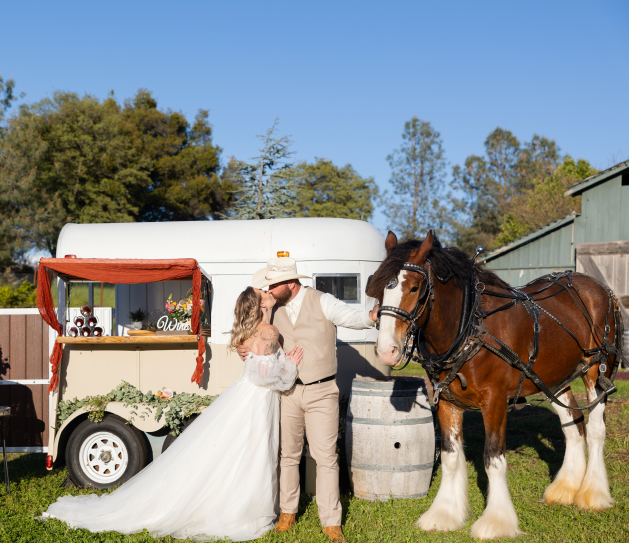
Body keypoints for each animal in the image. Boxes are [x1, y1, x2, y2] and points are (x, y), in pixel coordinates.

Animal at [368, 230, 620, 540]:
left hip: (596, 371)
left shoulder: (495, 402)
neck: (469, 328)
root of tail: (599, 287)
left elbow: (493, 459)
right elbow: (451, 457)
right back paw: (565, 489)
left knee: (595, 430)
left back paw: (593, 494)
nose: (386, 351)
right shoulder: (447, 402)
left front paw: (497, 522)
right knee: (573, 424)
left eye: (415, 288)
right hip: (555, 378)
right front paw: (444, 514)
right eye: (378, 288)